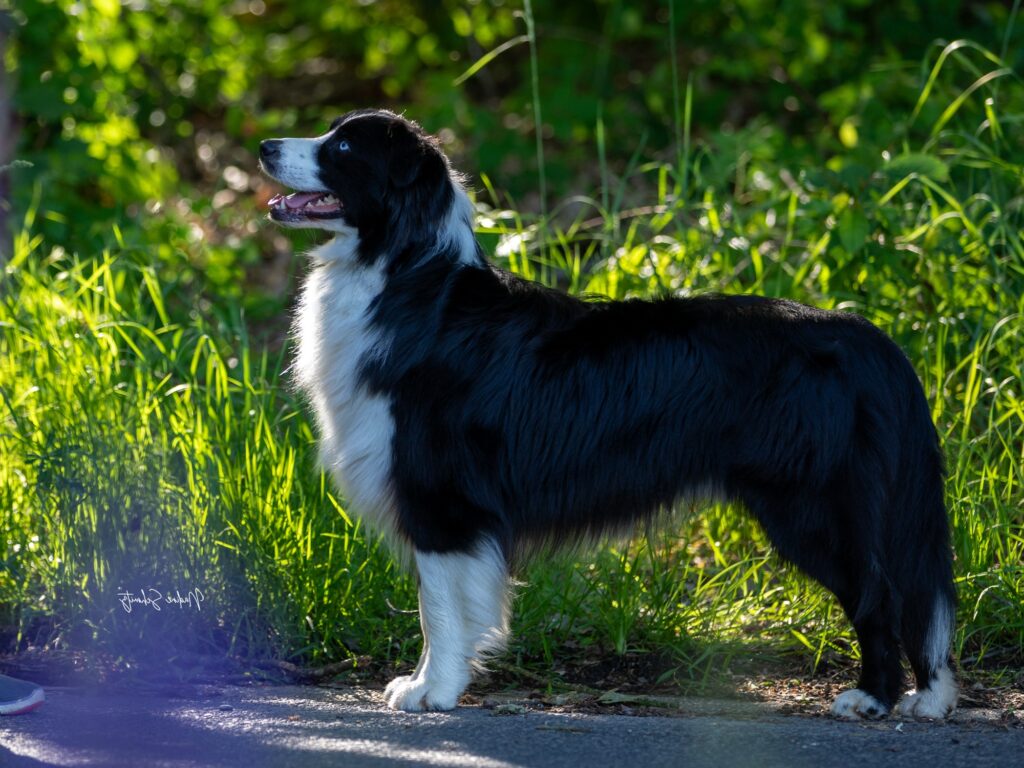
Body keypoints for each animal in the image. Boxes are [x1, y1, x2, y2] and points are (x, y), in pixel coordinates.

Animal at [258, 109, 958, 720]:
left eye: (344, 147)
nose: (263, 147)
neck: (403, 275)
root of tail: (869, 338)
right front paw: (437, 684)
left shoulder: (443, 500)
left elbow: (441, 608)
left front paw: (432, 690)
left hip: (811, 503)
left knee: (880, 596)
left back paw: (873, 699)